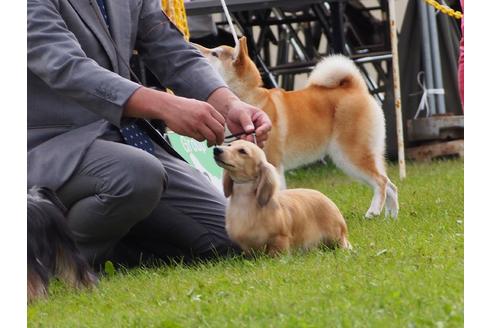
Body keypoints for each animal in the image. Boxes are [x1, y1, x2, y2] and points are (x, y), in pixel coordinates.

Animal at [213, 140, 352, 255]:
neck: (245, 202)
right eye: (229, 145)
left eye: (242, 151)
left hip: (335, 236)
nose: (216, 149)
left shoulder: (280, 237)